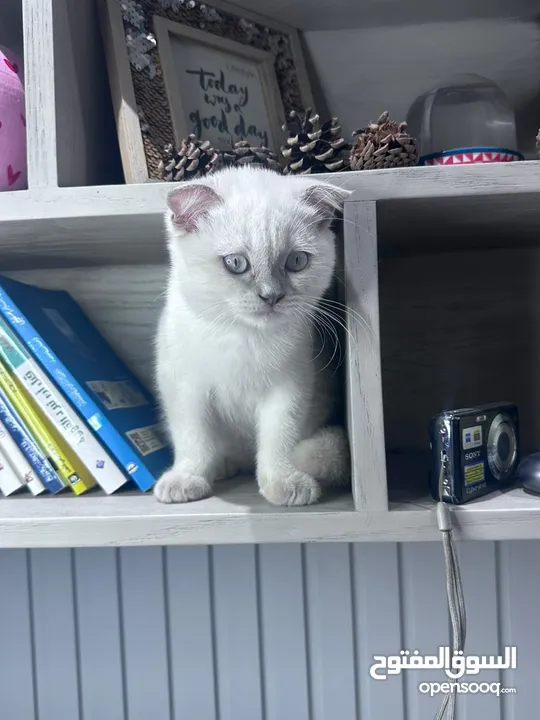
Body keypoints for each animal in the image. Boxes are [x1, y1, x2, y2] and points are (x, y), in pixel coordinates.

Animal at [154, 167, 352, 506]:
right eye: (236, 263)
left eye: (297, 261)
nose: (271, 296)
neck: (242, 335)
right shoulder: (185, 388)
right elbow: (193, 437)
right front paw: (187, 477)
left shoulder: (290, 386)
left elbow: (279, 436)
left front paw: (282, 481)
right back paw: (220, 466)